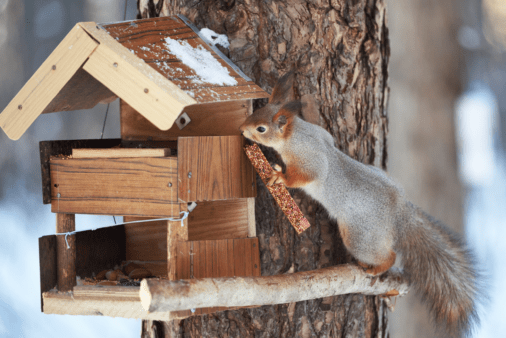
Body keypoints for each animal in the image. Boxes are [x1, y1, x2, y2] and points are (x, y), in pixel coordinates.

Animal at [239, 70, 480, 336]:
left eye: (261, 128)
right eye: (254, 114)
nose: (241, 129)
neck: (296, 134)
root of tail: (398, 212)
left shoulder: (311, 160)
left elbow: (306, 175)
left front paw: (278, 175)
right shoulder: (322, 134)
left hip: (359, 237)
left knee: (390, 256)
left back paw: (375, 267)